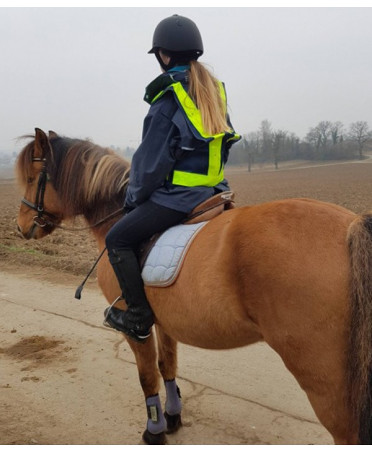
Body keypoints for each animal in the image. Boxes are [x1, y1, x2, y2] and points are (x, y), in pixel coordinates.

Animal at [14, 128, 372, 444]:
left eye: (33, 178)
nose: (20, 226)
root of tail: (351, 225)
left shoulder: (135, 327)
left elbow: (147, 375)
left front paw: (154, 431)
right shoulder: (164, 322)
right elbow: (167, 365)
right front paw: (173, 416)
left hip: (326, 382)